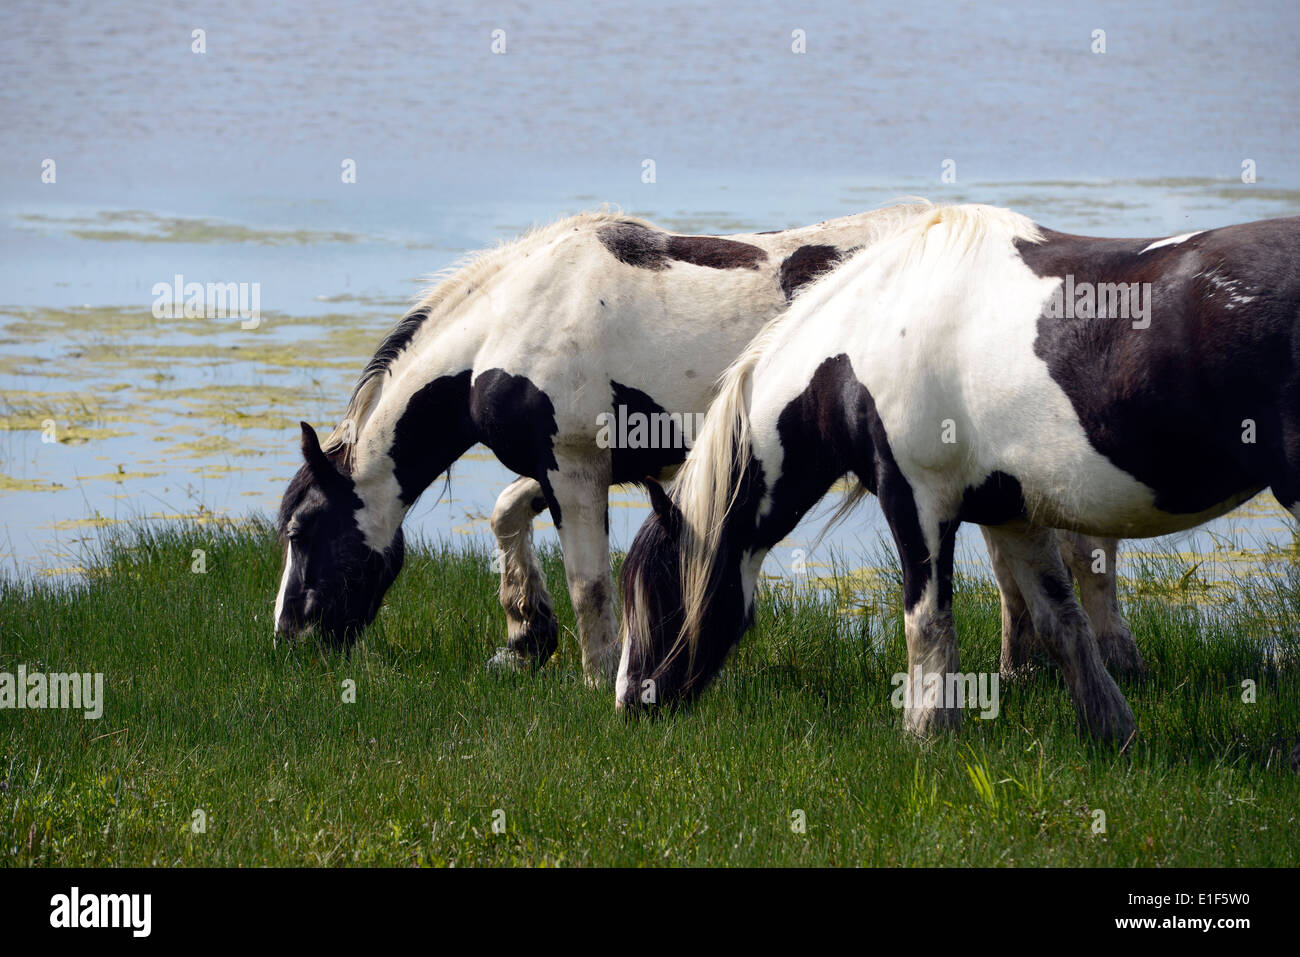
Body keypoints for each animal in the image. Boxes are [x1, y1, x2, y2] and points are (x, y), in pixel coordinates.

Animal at [271, 204, 1128, 681]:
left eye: (302, 531)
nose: (289, 637)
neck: (512, 317)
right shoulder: (573, 468)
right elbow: (507, 516)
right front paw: (522, 638)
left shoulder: (574, 467)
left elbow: (590, 582)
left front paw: (592, 674)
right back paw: (1028, 669)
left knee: (1074, 549)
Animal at [616, 205, 1300, 743]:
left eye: (661, 592)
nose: (628, 703)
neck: (867, 337)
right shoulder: (1014, 513)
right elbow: (1061, 622)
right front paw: (1112, 731)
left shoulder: (915, 501)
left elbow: (927, 619)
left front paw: (925, 734)